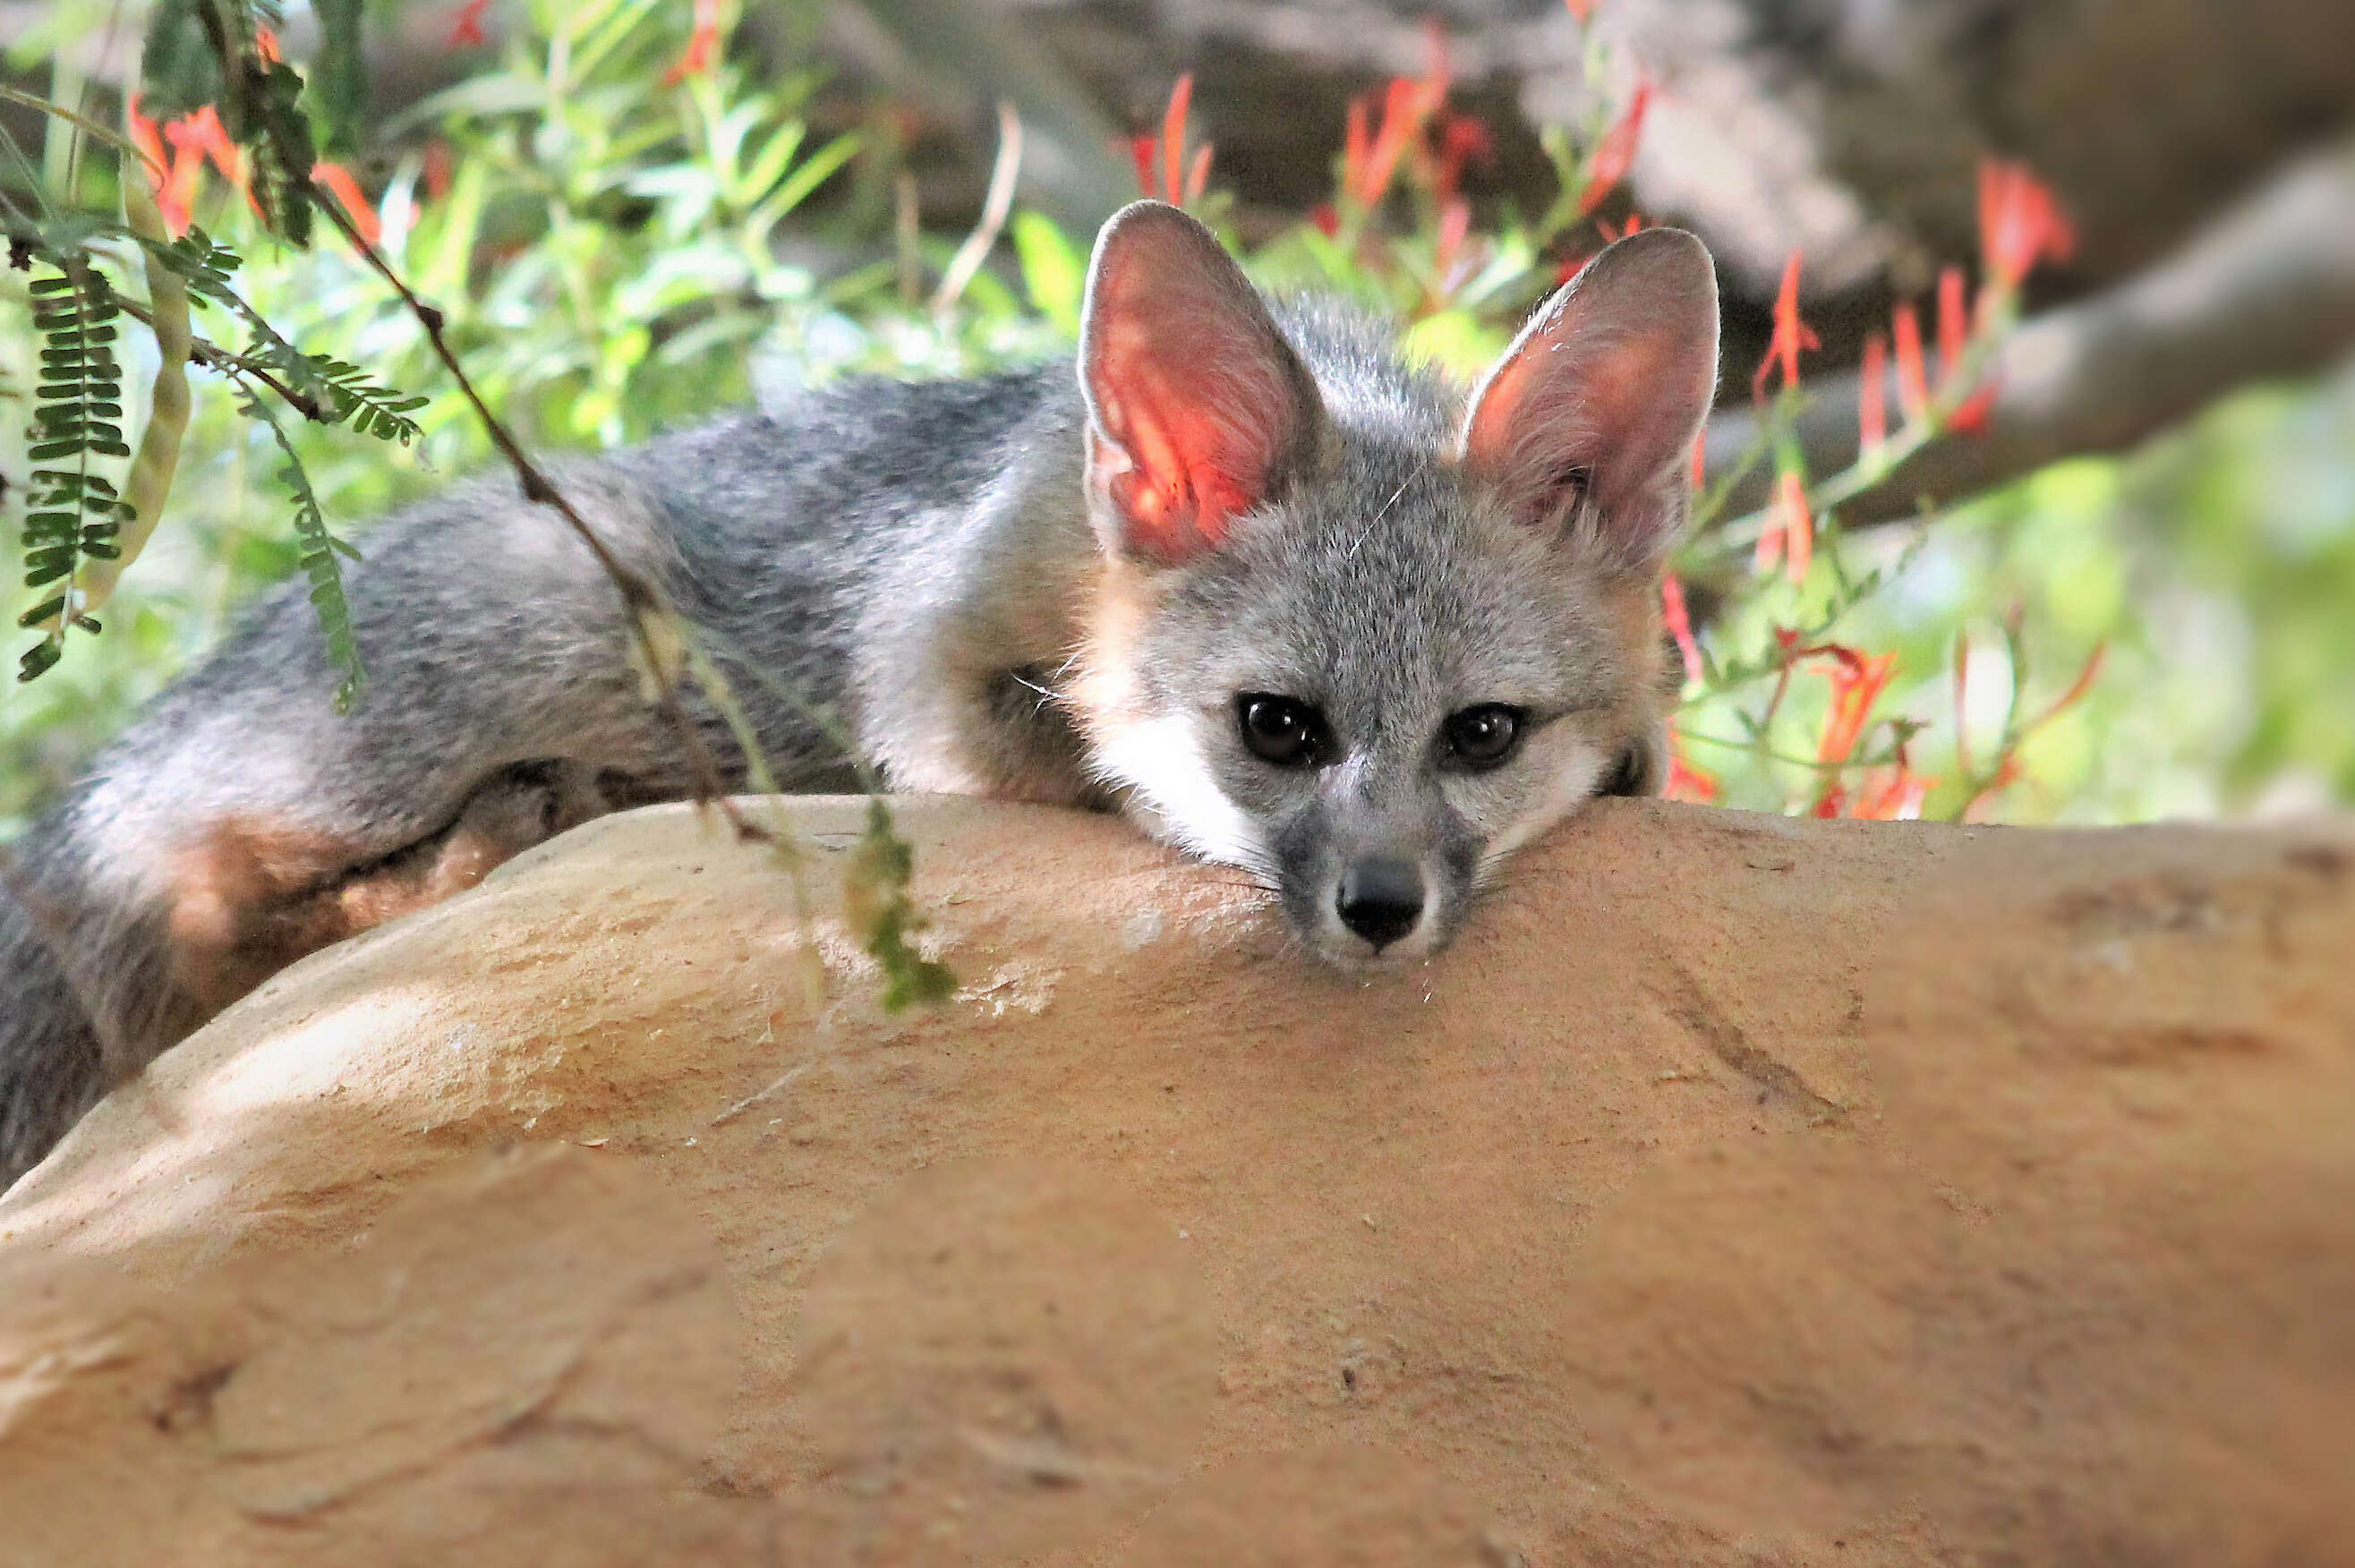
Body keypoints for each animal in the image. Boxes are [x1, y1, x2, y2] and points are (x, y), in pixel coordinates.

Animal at [4, 200, 1733, 1177]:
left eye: (1482, 735)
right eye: (1278, 729)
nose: (1379, 909)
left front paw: (1631, 757)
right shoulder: (926, 676)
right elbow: (1065, 748)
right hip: (561, 618)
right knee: (209, 918)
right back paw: (510, 824)